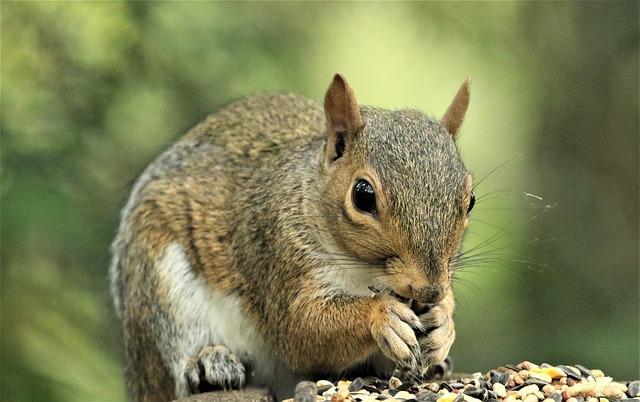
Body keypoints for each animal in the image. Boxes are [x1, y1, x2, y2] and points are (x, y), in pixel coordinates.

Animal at [109, 73, 470, 402]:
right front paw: (381, 315)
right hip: (160, 283)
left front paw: (444, 324)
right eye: (363, 196)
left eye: (471, 200)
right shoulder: (277, 251)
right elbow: (299, 331)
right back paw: (208, 363)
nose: (429, 291)